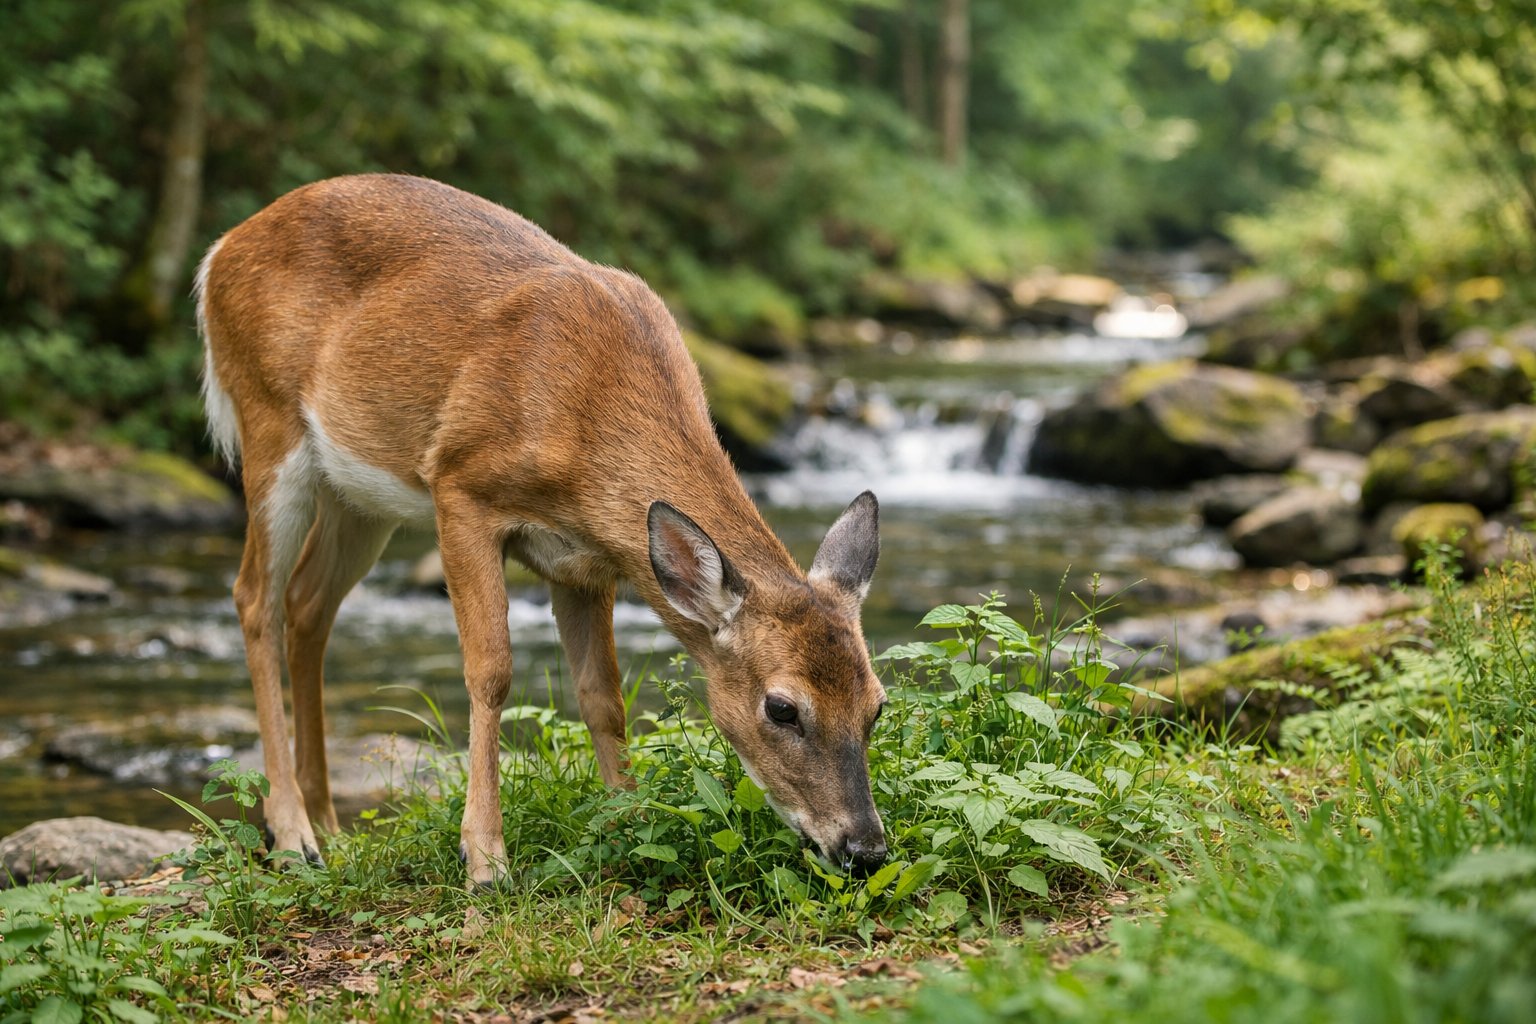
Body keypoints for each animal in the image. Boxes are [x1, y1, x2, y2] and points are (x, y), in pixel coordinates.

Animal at [195, 174, 888, 888]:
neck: (586, 417)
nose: (865, 849)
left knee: (308, 604)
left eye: (877, 704)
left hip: (358, 493)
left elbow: (603, 695)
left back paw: (331, 825)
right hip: (268, 422)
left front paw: (627, 820)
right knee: (255, 597)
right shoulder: (459, 486)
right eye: (782, 708)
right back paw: (292, 833)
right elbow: (491, 671)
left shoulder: (587, 560)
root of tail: (219, 252)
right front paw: (484, 858)